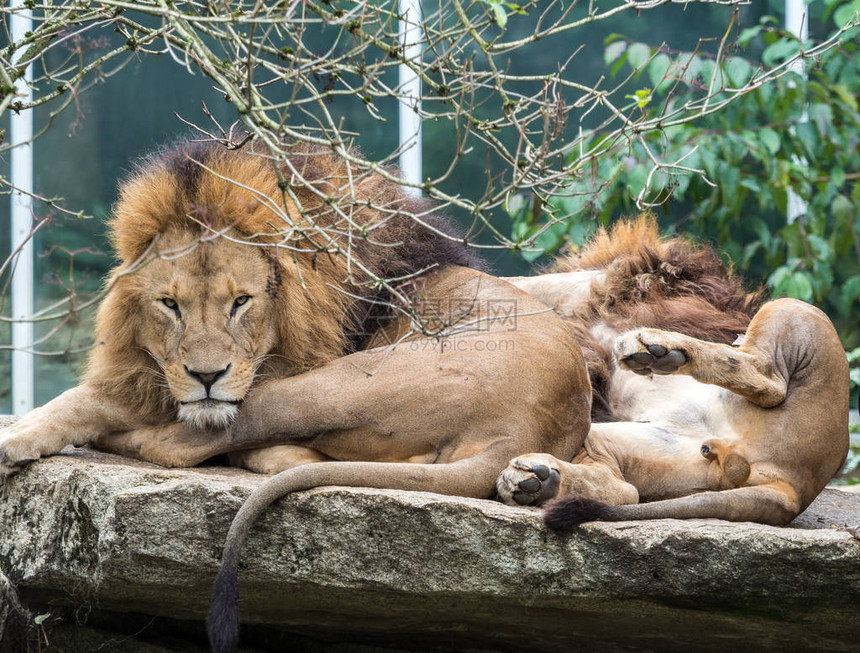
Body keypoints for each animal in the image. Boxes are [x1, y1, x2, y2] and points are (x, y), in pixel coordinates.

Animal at [0, 140, 592, 648]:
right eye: (170, 305)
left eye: (241, 302)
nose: (207, 375)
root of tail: (518, 430)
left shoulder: (238, 386)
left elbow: (97, 402)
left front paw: (20, 436)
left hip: (327, 386)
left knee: (174, 447)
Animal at [498, 219, 848, 528]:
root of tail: (794, 487)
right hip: (638, 444)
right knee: (624, 489)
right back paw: (537, 481)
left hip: (795, 310)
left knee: (768, 377)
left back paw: (654, 347)